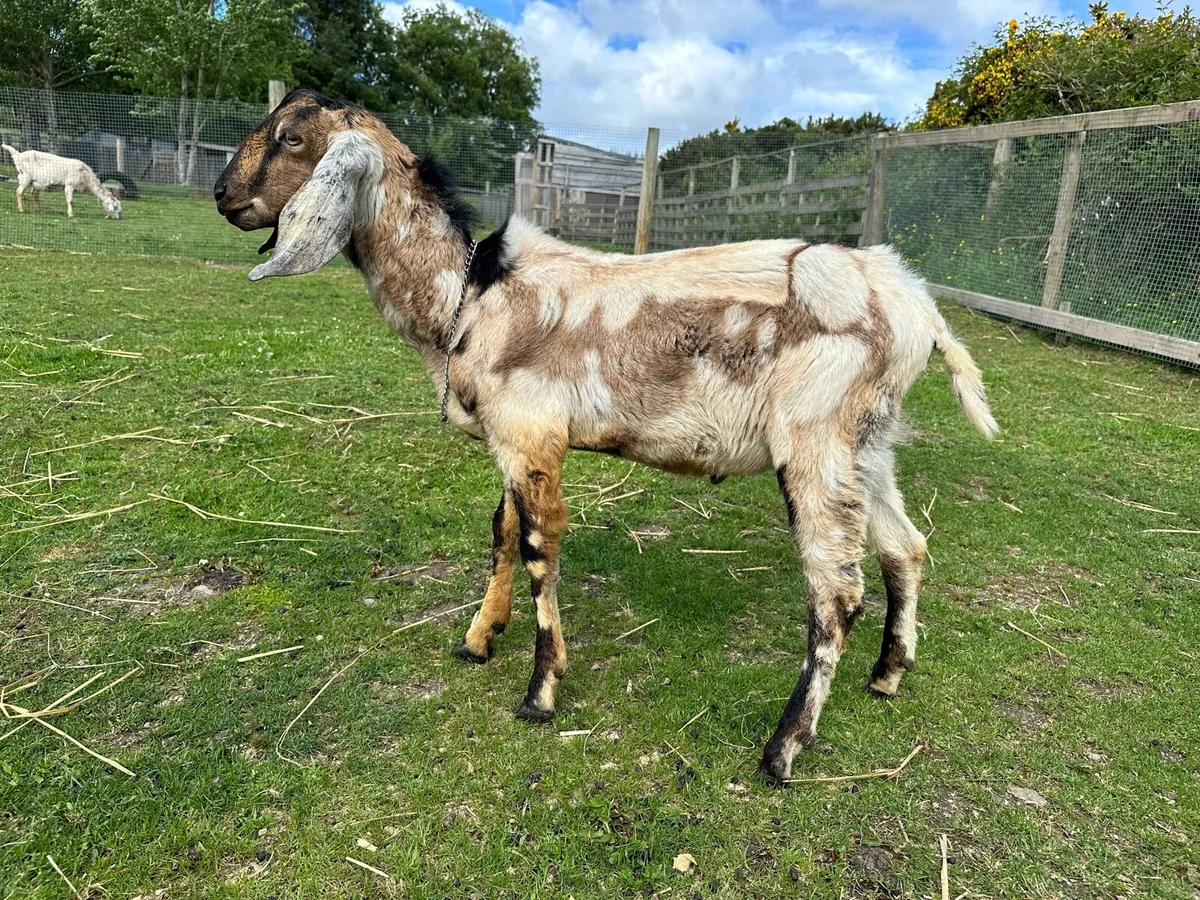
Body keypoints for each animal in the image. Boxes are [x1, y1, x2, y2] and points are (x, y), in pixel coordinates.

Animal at [215, 89, 998, 783]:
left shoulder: (532, 435)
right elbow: (501, 530)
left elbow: (538, 547)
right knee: (905, 548)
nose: (224, 195)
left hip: (816, 440)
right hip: (869, 443)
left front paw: (540, 692)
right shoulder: (511, 443)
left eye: (291, 139)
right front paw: (478, 638)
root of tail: (917, 306)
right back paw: (888, 674)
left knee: (836, 595)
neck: (468, 294)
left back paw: (782, 749)